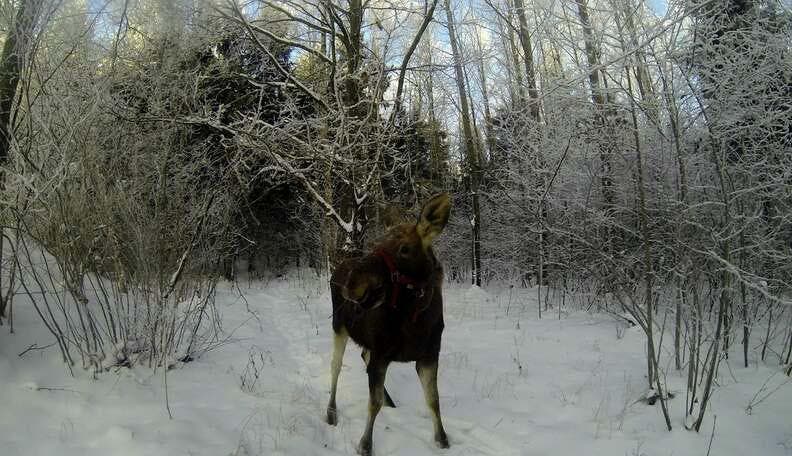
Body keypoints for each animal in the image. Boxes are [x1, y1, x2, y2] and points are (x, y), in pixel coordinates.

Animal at [326, 194, 452, 456]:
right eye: (376, 243)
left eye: (405, 249)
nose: (351, 284)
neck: (416, 322)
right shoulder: (381, 354)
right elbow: (372, 404)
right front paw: (365, 445)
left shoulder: (429, 356)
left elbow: (433, 400)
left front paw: (442, 440)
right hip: (338, 327)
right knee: (335, 366)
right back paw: (331, 412)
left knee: (362, 355)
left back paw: (389, 400)